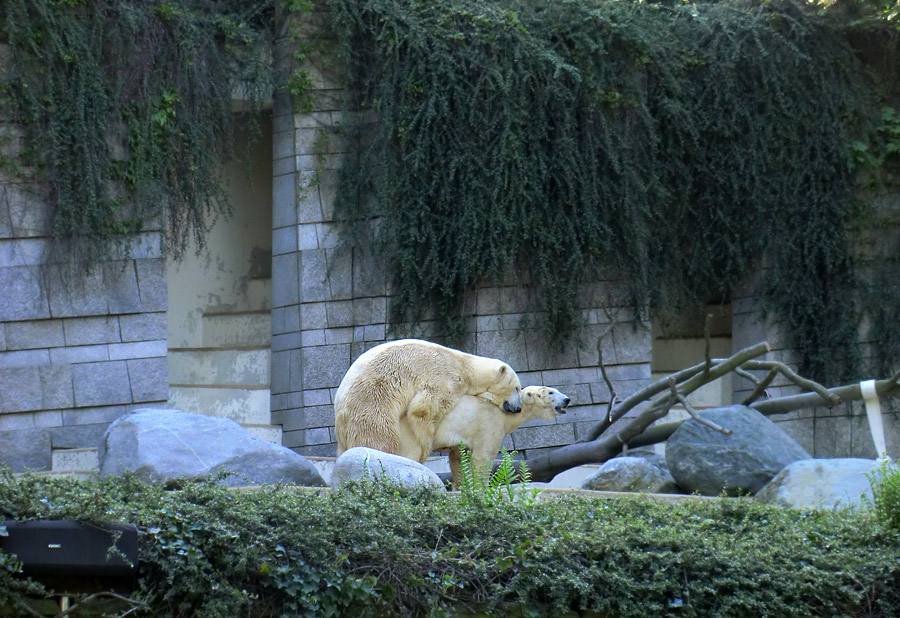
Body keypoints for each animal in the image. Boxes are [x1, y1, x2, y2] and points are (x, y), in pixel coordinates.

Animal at [334, 336, 524, 462]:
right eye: (517, 388)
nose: (518, 408)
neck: (465, 365)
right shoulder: (445, 376)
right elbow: (424, 409)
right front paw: (425, 444)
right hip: (371, 400)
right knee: (379, 436)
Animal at [400, 384, 568, 486]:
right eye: (551, 392)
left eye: (556, 390)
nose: (567, 399)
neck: (506, 409)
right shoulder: (489, 423)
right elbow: (484, 457)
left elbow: (459, 459)